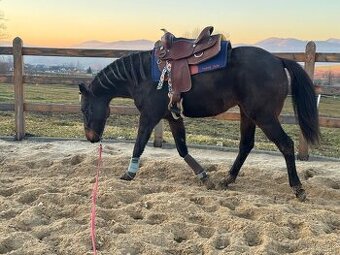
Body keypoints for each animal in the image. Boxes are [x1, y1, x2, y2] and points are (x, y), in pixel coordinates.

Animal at [78, 45, 320, 201]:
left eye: (85, 109)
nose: (91, 138)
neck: (143, 76)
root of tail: (278, 60)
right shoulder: (171, 117)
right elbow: (182, 149)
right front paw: (204, 176)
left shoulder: (149, 116)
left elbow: (139, 144)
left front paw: (129, 173)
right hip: (248, 114)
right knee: (246, 145)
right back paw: (227, 179)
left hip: (264, 116)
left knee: (286, 144)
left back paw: (298, 188)